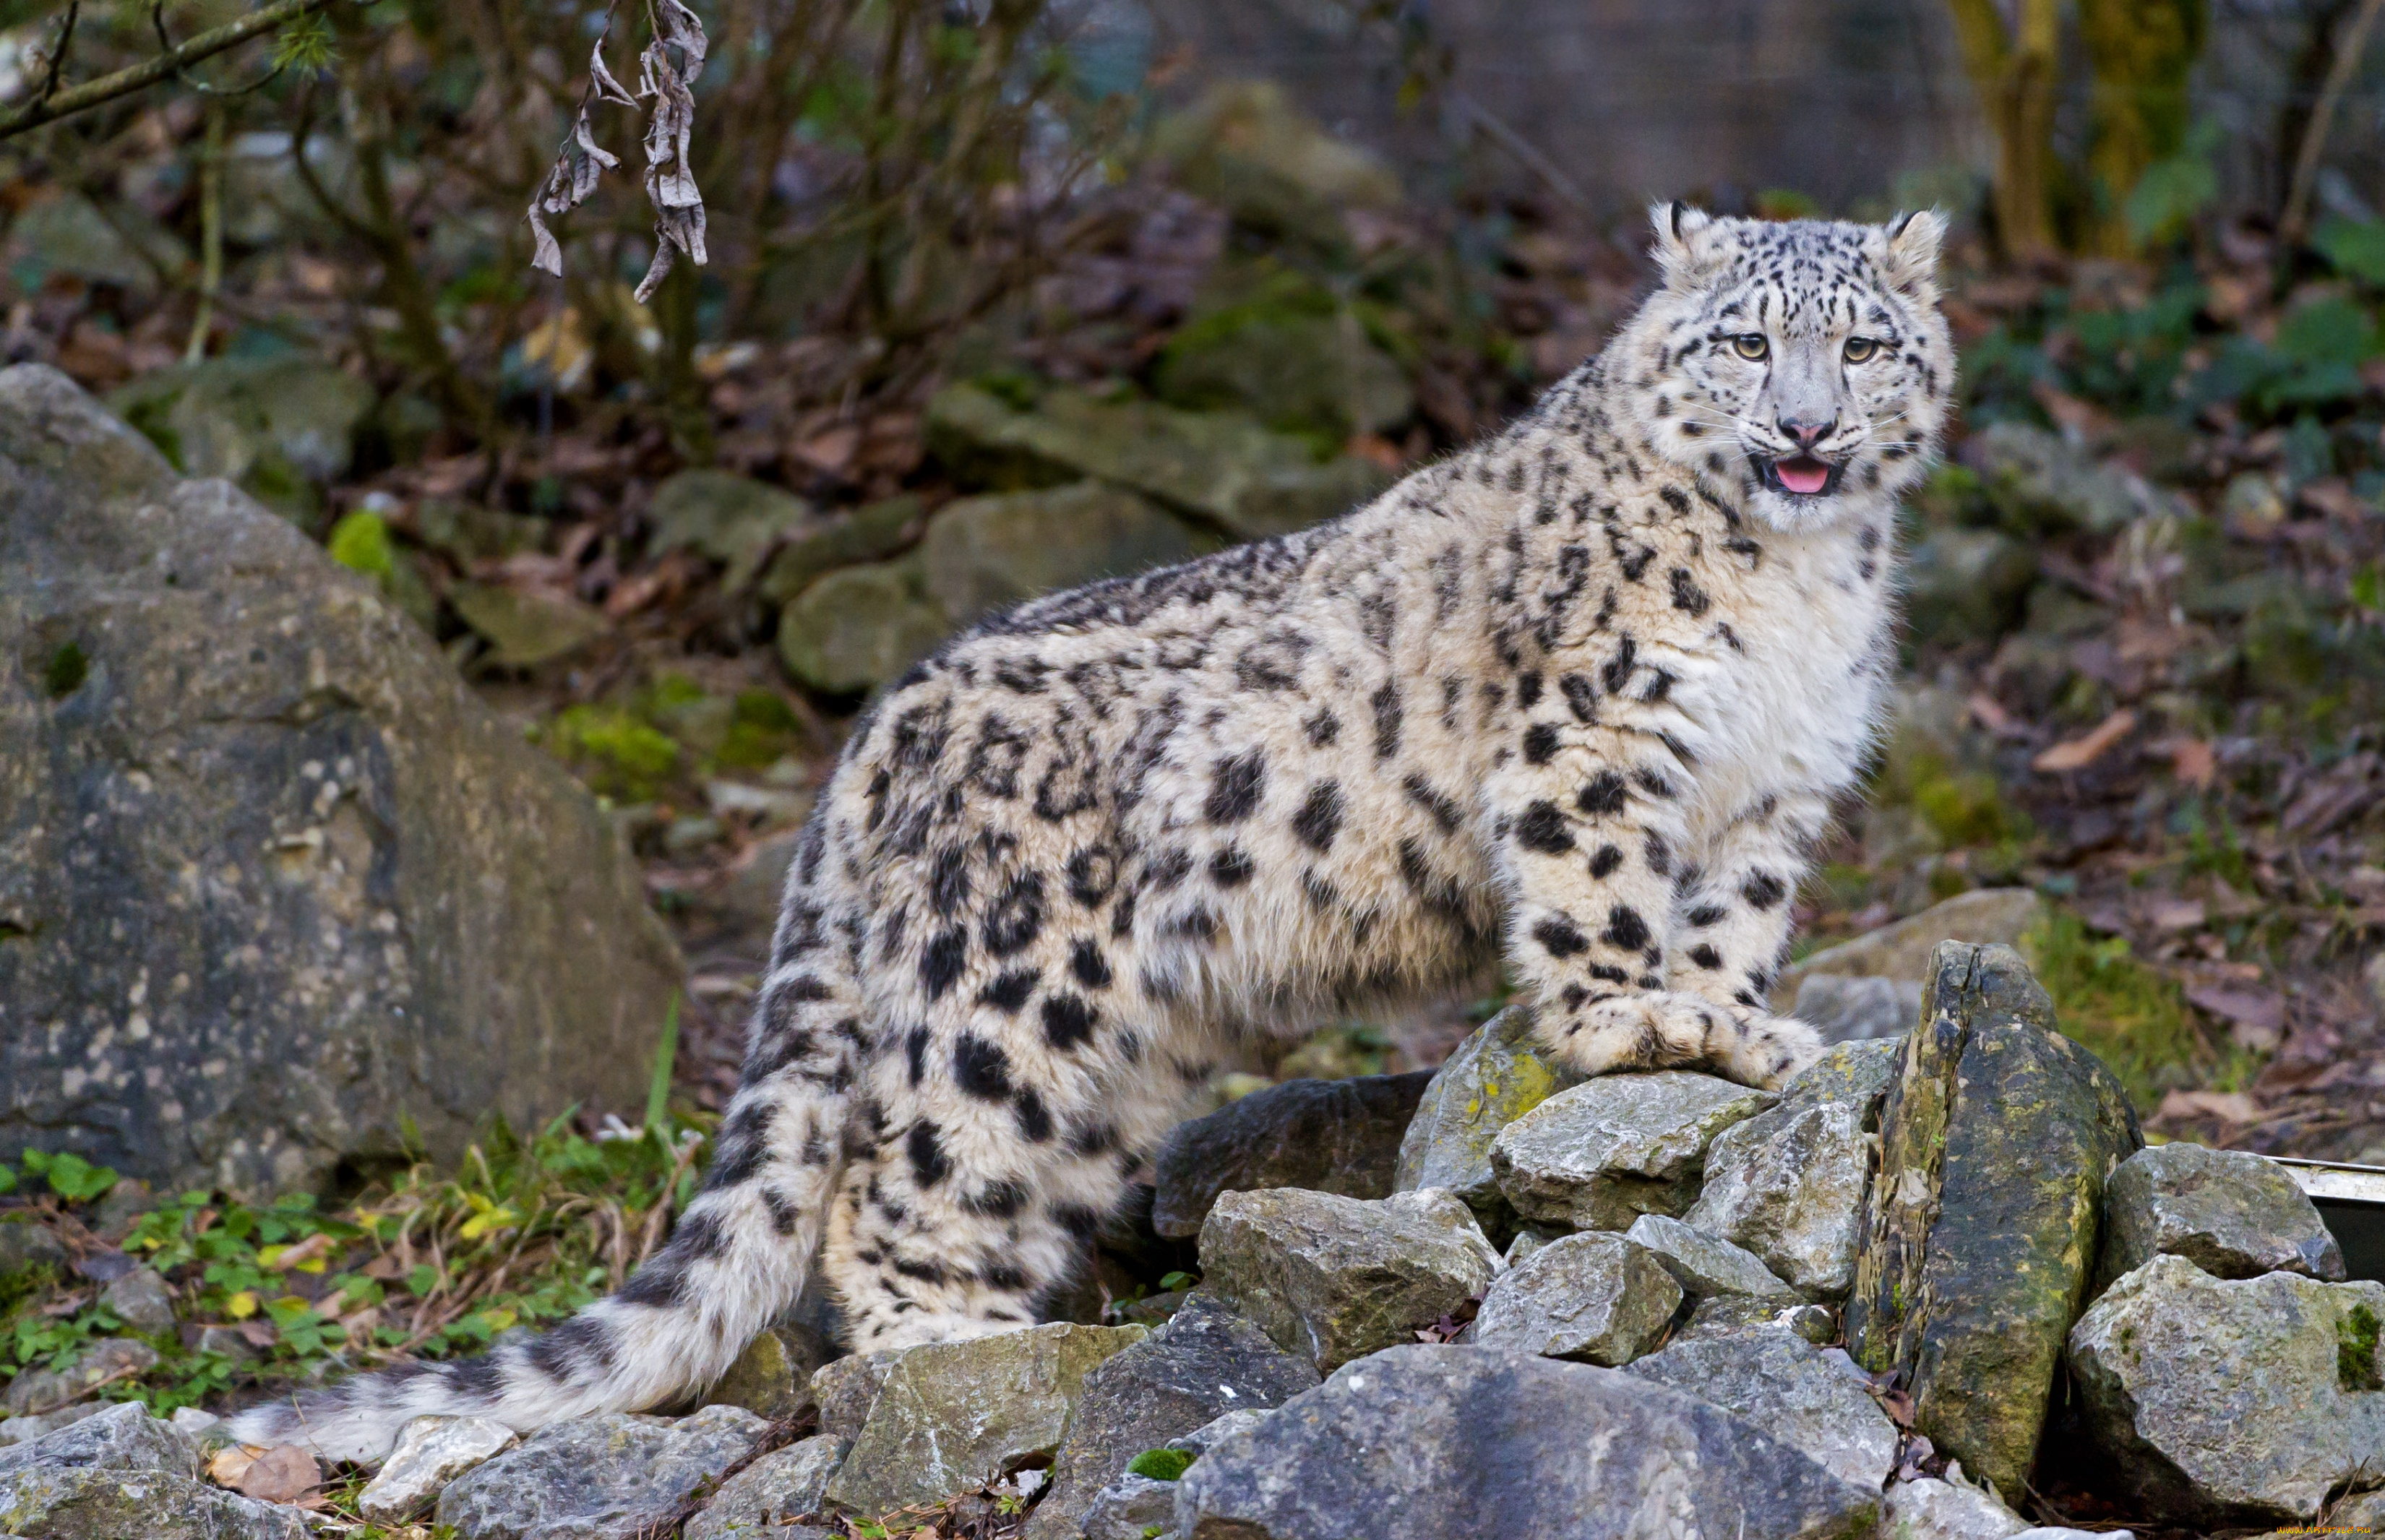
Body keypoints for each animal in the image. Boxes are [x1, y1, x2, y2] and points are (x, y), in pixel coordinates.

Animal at [237, 205, 1956, 1458]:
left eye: (1866, 345)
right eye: (1746, 341)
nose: (1807, 430)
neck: (1800, 586)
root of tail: (879, 725)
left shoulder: (1775, 782)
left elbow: (1730, 914)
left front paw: (1732, 1023)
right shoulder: (1590, 731)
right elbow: (1599, 882)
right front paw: (1632, 1018)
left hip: (1121, 1057)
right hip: (1008, 996)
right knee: (890, 1182)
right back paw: (968, 1356)